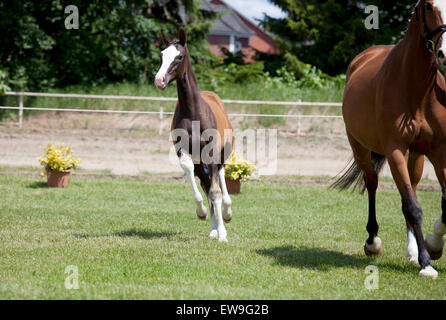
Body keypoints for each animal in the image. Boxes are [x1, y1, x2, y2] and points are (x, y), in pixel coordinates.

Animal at [154, 29, 233, 242]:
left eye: (179, 56)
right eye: (162, 55)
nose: (159, 80)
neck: (193, 112)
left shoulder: (212, 152)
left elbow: (216, 191)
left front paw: (223, 233)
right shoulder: (183, 150)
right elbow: (193, 177)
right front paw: (202, 213)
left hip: (222, 154)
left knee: (220, 177)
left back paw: (226, 214)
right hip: (201, 161)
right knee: (206, 184)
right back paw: (213, 228)